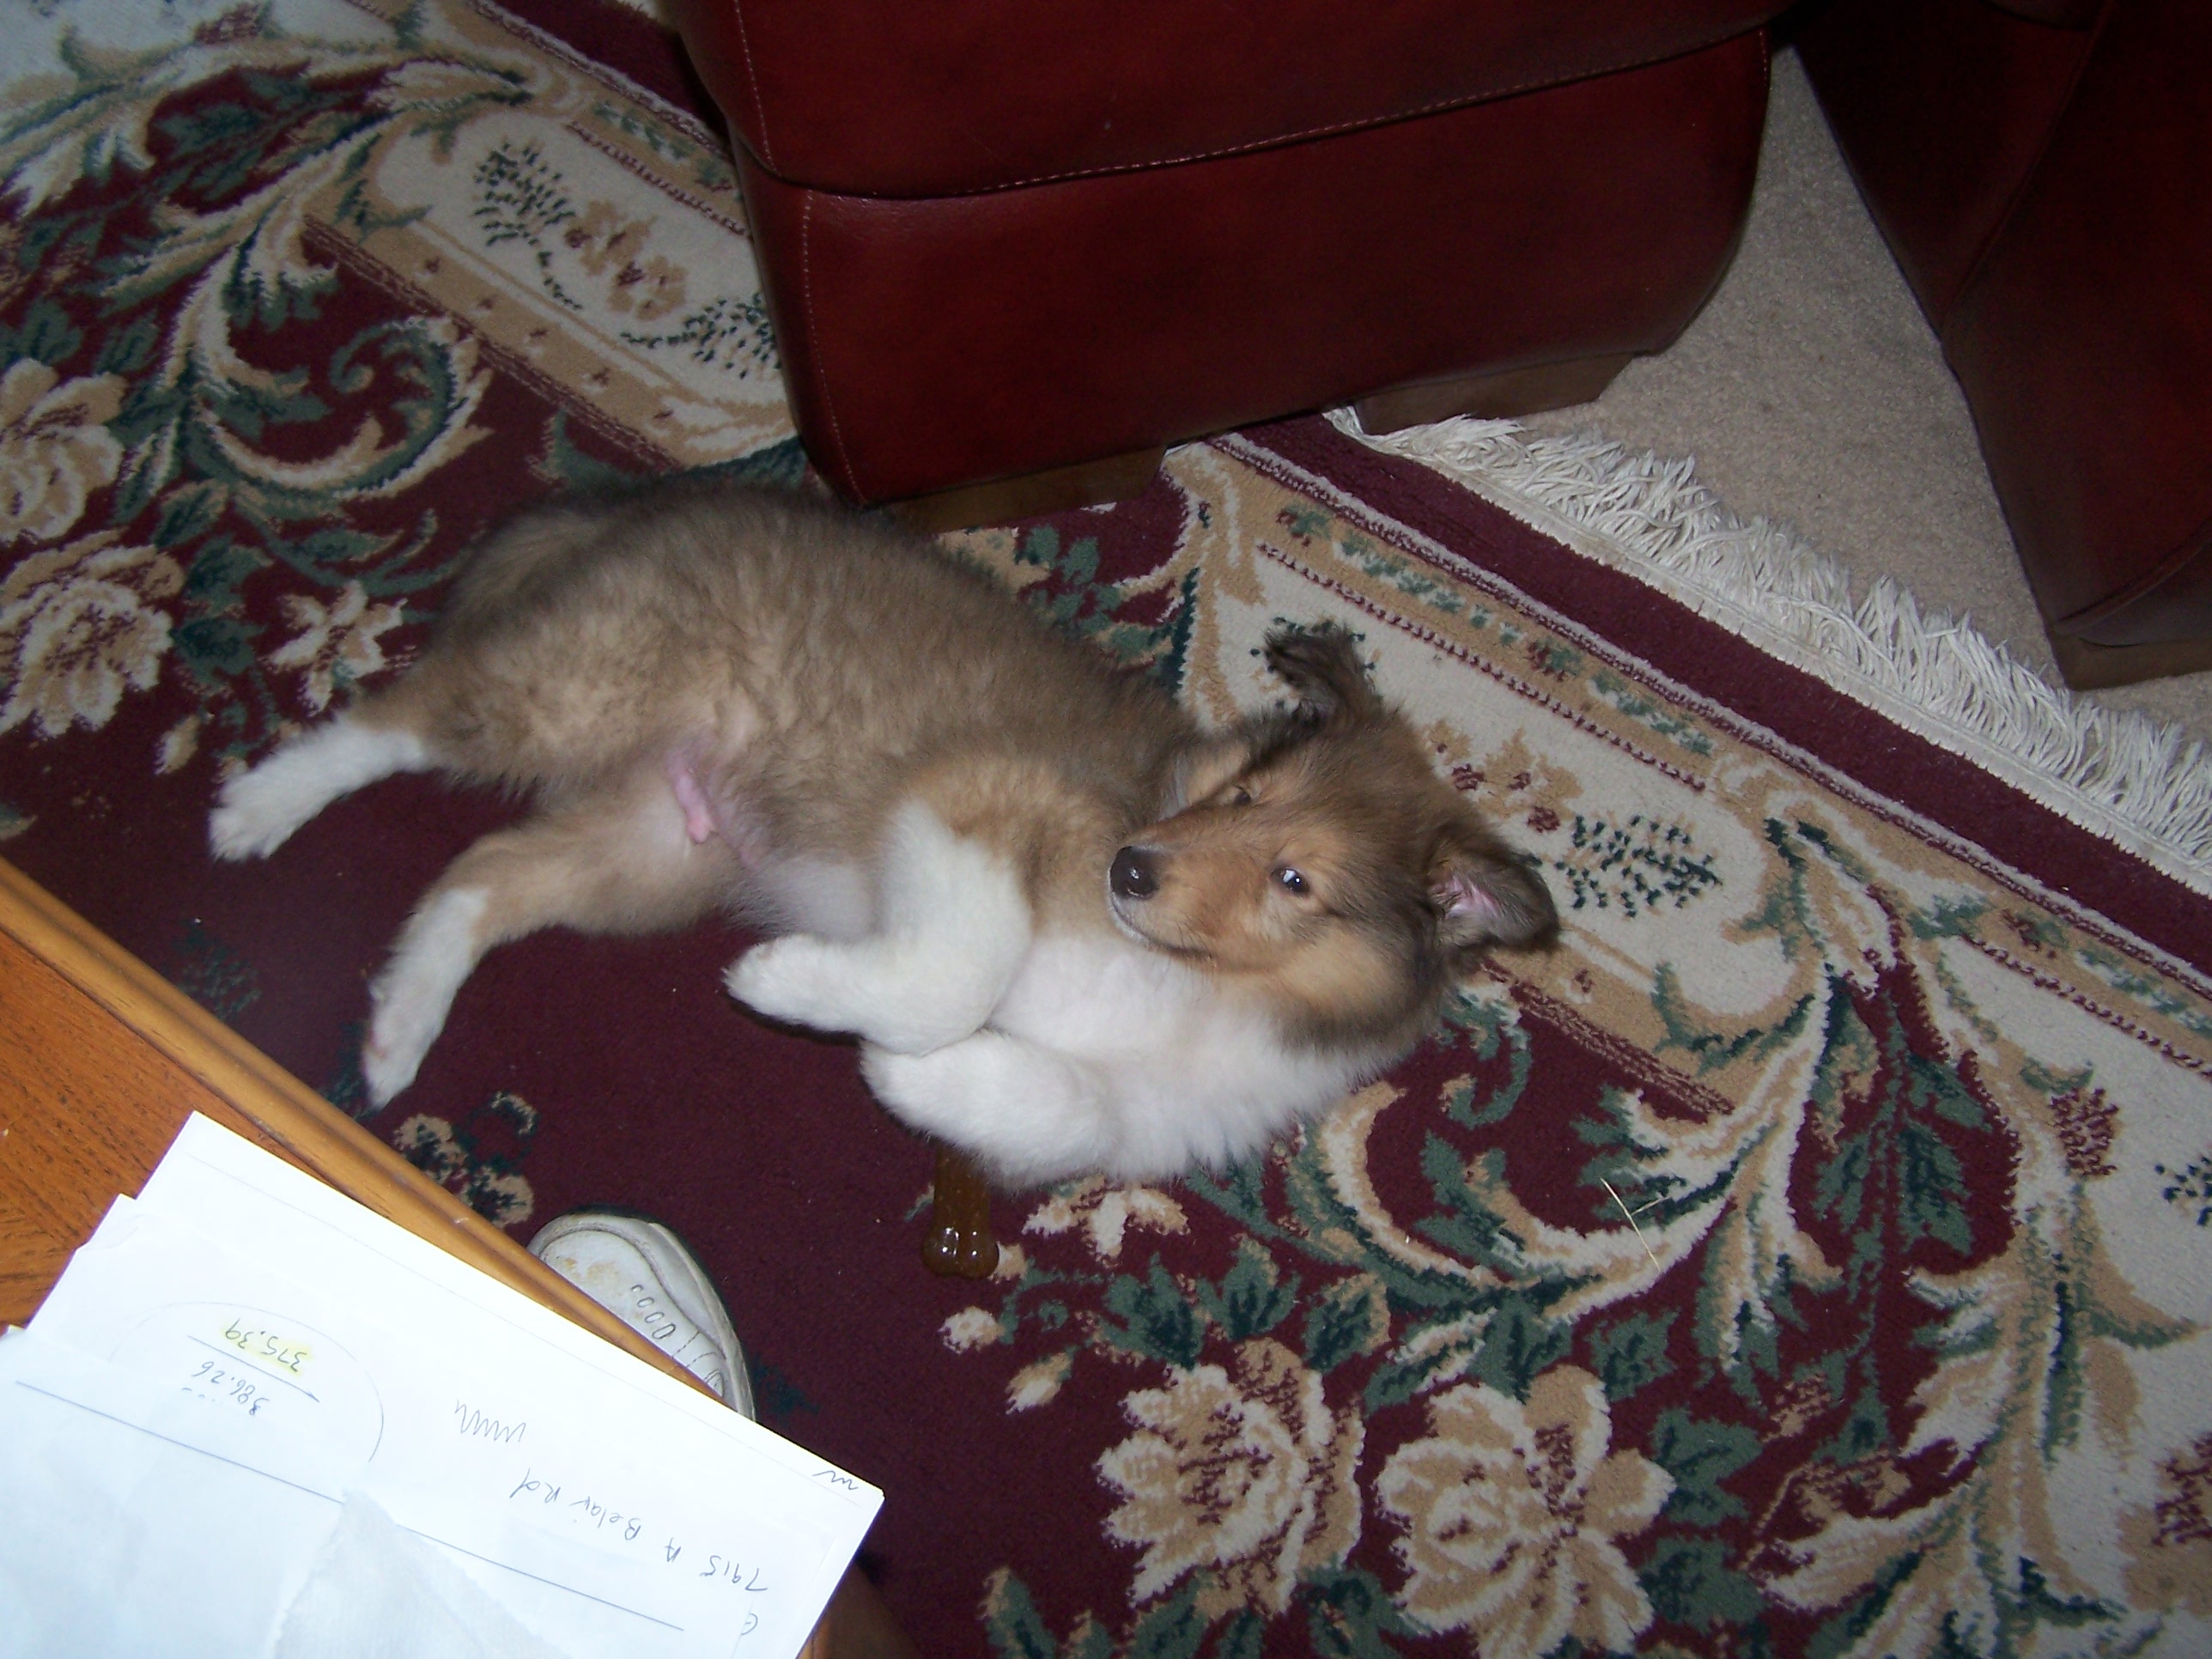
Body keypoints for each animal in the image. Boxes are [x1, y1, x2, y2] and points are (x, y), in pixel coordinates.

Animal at [210, 480, 1556, 1187]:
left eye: (1294, 879)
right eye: (1242, 794)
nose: (1129, 868)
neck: (1196, 986)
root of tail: (643, 512)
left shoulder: (1152, 1111)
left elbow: (1062, 1106)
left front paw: (906, 1076)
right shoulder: (980, 803)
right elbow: (958, 972)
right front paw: (795, 986)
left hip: (657, 851)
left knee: (481, 873)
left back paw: (398, 1025)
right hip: (590, 683)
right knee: (404, 715)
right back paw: (260, 807)